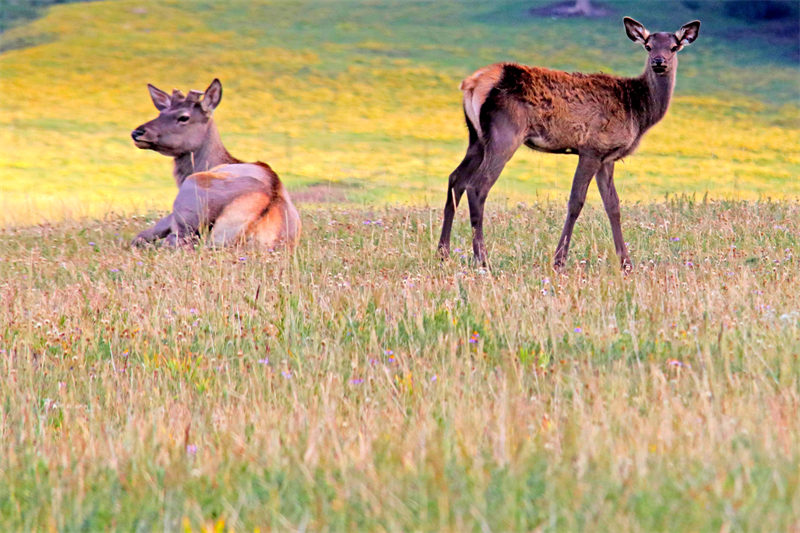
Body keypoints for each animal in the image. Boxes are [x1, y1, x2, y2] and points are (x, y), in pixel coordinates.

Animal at [131, 78, 300, 248]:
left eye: (184, 117)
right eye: (161, 113)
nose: (137, 132)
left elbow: (140, 236)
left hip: (190, 202)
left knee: (176, 240)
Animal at [438, 17, 700, 270]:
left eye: (674, 46)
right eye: (648, 45)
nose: (658, 61)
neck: (637, 110)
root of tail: (471, 84)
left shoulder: (607, 156)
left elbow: (613, 205)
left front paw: (626, 264)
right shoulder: (592, 148)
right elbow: (576, 202)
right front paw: (558, 261)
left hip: (476, 137)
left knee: (455, 179)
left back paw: (443, 254)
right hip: (504, 133)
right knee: (477, 186)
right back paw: (482, 259)